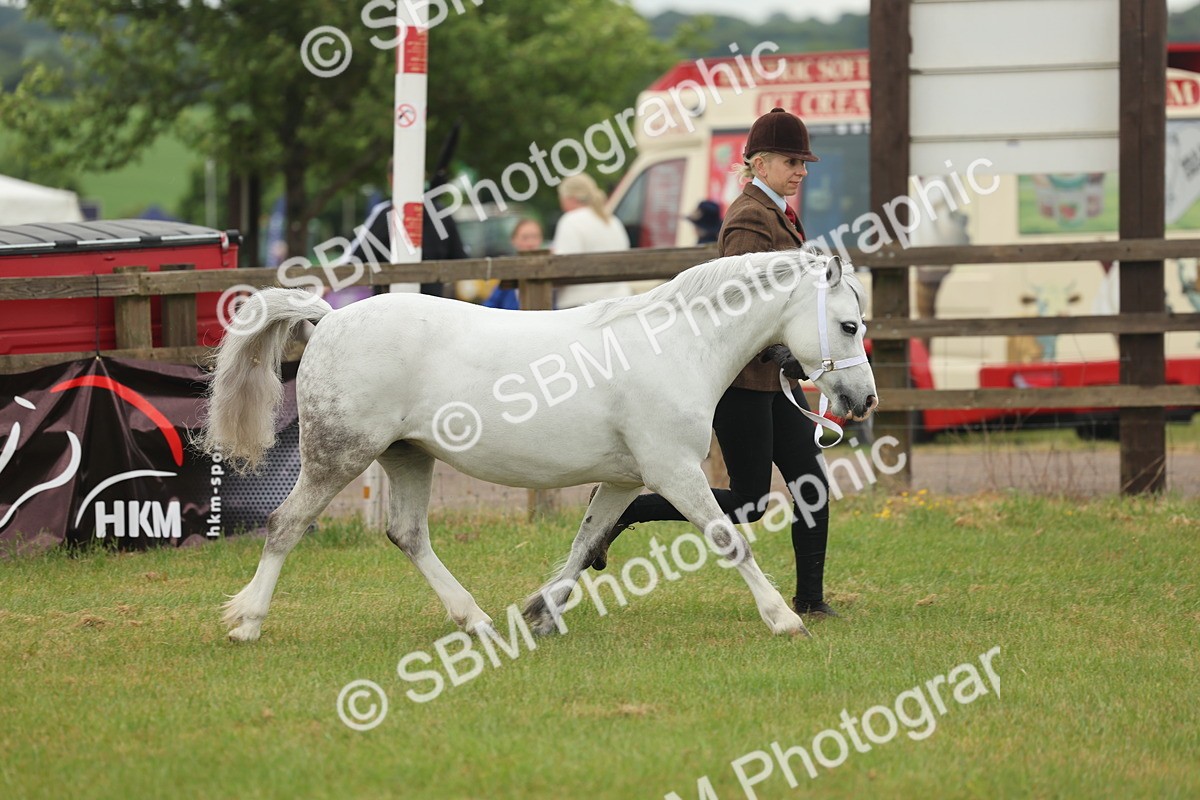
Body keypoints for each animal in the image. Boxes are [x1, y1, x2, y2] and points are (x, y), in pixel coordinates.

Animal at [198, 247, 878, 642]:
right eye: (849, 324)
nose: (863, 400)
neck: (678, 345)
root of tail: (328, 319)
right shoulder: (675, 471)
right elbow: (729, 540)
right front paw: (784, 619)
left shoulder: (627, 480)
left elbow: (586, 544)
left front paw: (540, 612)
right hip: (338, 455)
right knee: (286, 525)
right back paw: (246, 623)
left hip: (408, 455)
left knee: (408, 534)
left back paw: (474, 620)